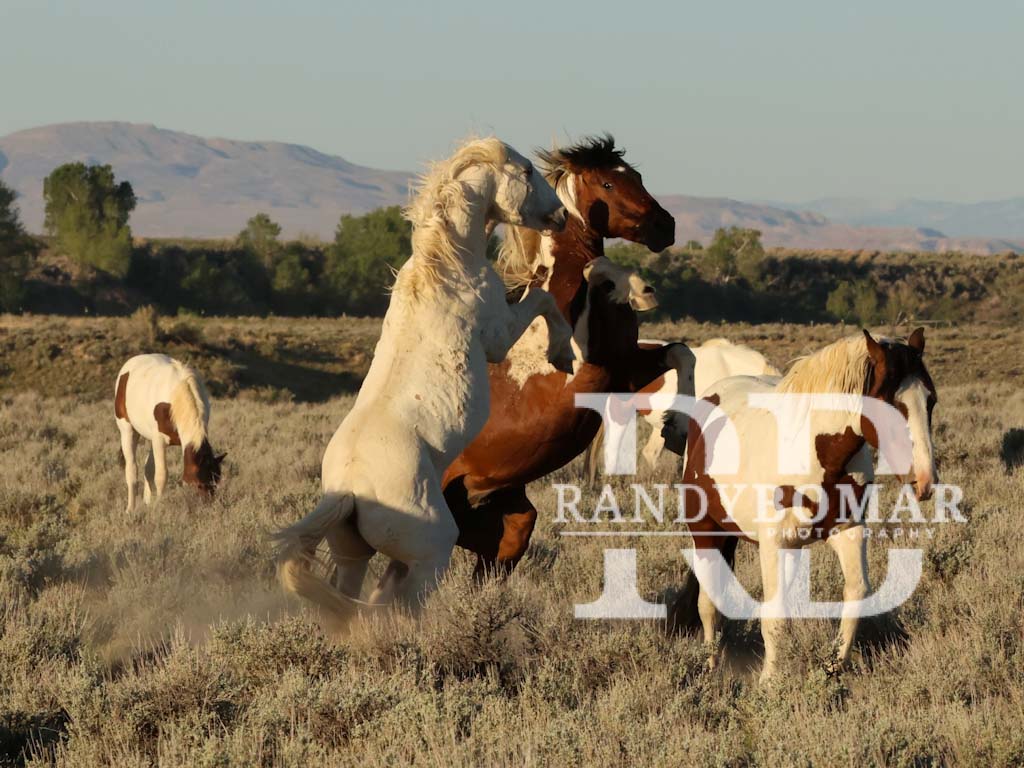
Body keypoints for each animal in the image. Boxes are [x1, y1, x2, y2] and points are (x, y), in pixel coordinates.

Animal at [114, 354, 225, 513]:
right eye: (199, 484)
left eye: (215, 482)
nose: (207, 508)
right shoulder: (159, 441)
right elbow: (161, 476)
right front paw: (160, 507)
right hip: (127, 430)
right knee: (132, 469)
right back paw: (130, 509)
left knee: (147, 468)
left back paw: (147, 502)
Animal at [274, 138, 573, 617]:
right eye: (527, 171)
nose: (561, 216)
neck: (449, 265)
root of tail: (349, 492)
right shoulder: (500, 334)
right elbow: (544, 300)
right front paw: (563, 354)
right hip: (431, 554)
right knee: (398, 607)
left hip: (352, 556)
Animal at [441, 135, 686, 576]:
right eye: (607, 184)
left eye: (637, 176)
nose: (666, 227)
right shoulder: (583, 366)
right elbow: (598, 264)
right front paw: (641, 289)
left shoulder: (622, 371)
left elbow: (681, 354)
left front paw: (676, 431)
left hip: (507, 517)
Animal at [679, 328, 937, 681]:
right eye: (887, 403)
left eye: (930, 400)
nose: (924, 480)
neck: (816, 453)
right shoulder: (772, 544)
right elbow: (774, 615)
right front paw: (769, 682)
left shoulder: (847, 533)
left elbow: (856, 594)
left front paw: (834, 667)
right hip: (707, 532)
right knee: (708, 603)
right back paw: (710, 666)